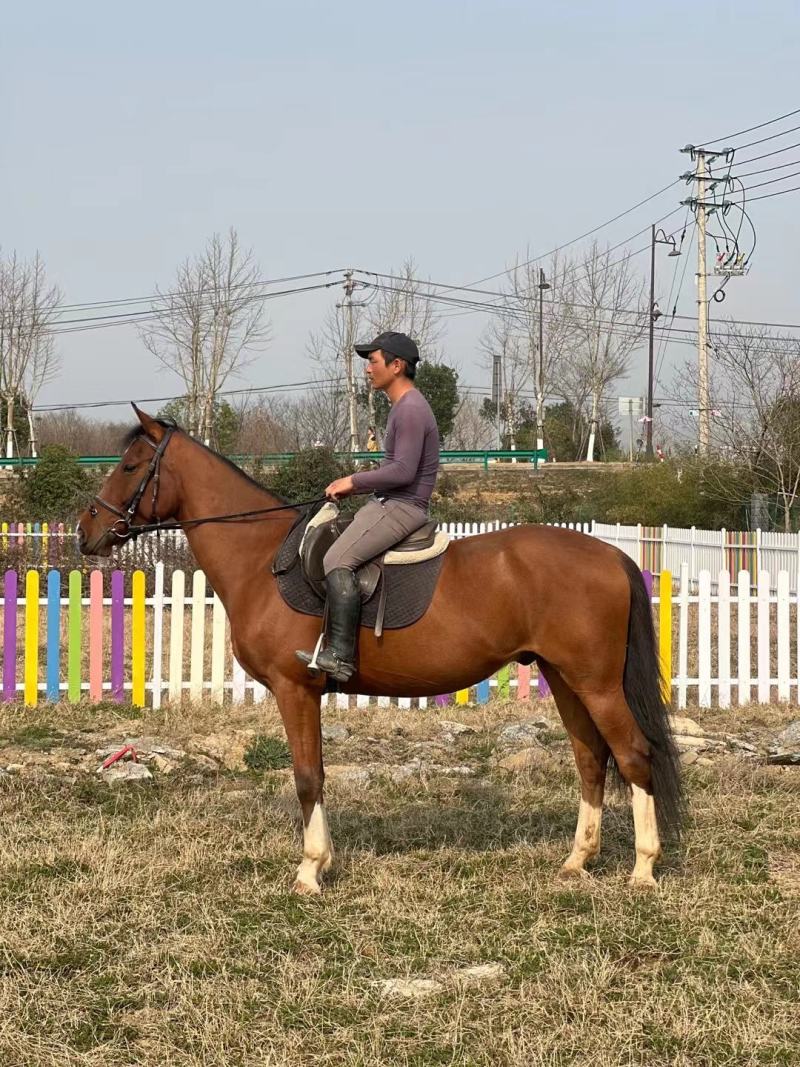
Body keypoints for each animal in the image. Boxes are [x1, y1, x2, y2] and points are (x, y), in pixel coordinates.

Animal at [76, 407, 682, 895]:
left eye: (129, 466)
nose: (86, 531)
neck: (262, 559)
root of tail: (610, 554)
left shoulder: (295, 690)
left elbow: (307, 776)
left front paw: (310, 871)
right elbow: (316, 773)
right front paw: (321, 862)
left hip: (597, 683)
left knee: (633, 755)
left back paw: (643, 869)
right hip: (564, 678)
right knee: (591, 759)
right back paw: (578, 861)